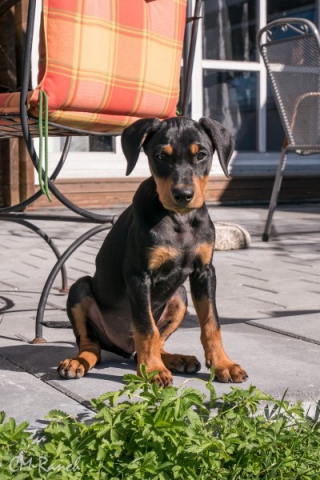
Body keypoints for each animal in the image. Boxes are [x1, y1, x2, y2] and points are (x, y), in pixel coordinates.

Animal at [58, 116, 248, 386]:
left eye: (201, 154)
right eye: (160, 156)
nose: (183, 195)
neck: (180, 220)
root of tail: (124, 348)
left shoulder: (205, 272)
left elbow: (212, 322)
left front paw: (223, 364)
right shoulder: (139, 276)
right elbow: (146, 327)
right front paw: (154, 371)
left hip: (179, 296)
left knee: (157, 341)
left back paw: (176, 359)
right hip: (80, 289)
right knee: (92, 344)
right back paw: (79, 362)